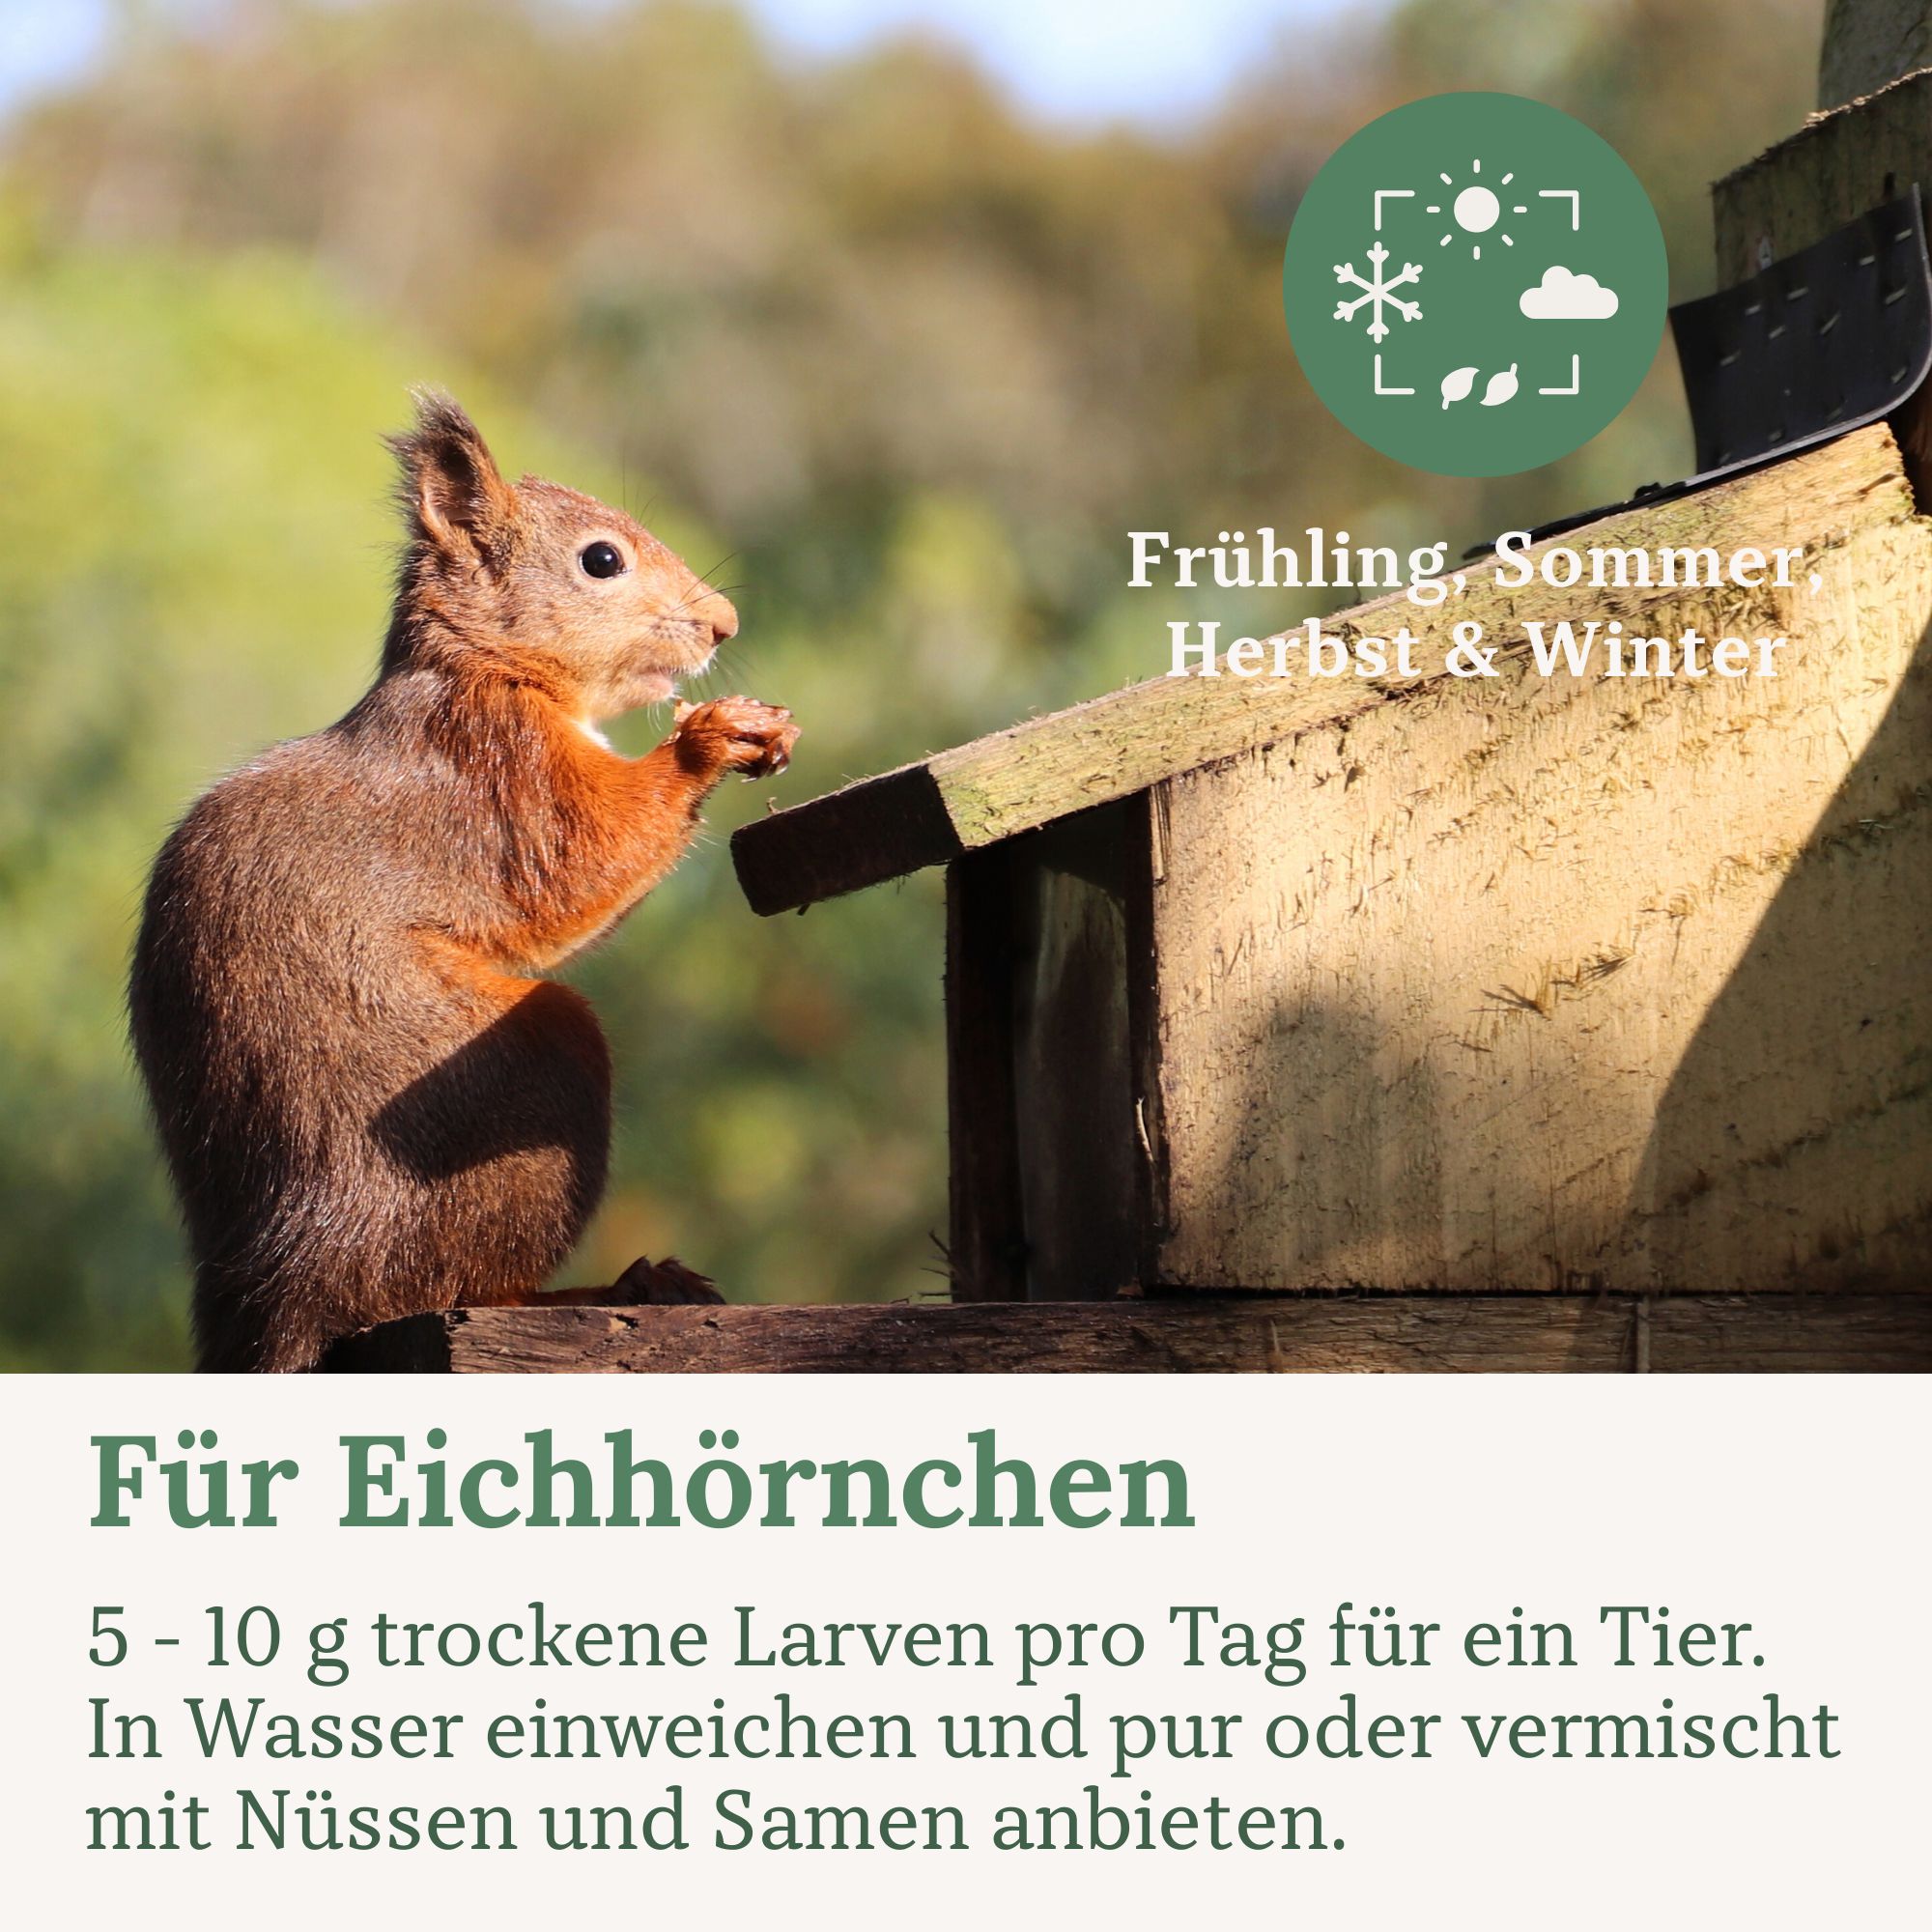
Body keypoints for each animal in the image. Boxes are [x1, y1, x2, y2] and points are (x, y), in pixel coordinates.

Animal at [129, 391, 798, 1373]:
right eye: (602, 560)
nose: (724, 624)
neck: (488, 664)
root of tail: (296, 1278)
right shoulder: (500, 773)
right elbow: (578, 862)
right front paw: (709, 737)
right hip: (509, 1081)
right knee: (448, 1285)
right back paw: (613, 1288)